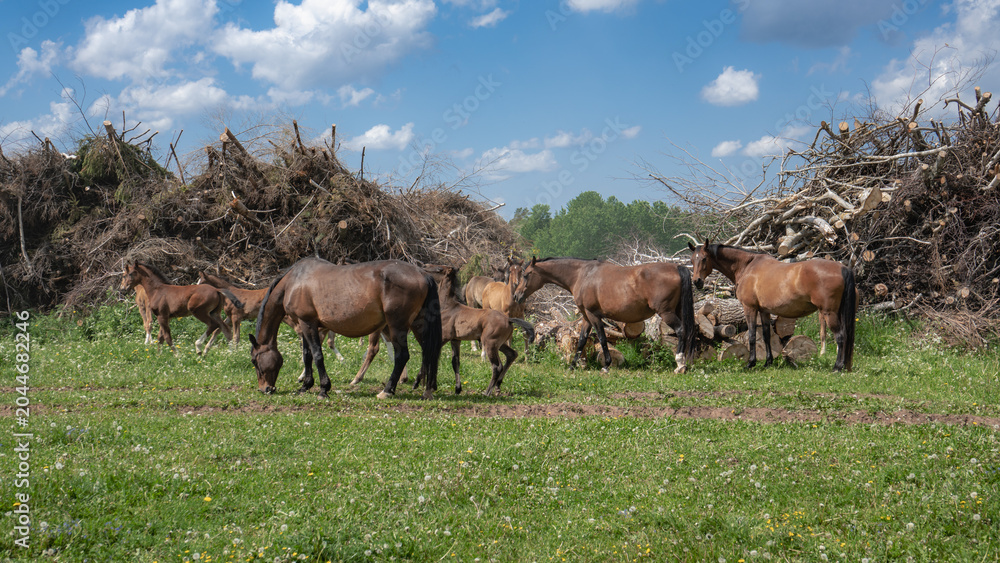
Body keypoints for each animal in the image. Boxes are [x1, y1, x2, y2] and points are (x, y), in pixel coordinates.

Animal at [248, 257, 442, 399]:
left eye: (254, 361)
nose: (265, 389)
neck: (295, 281)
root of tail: (422, 274)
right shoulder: (305, 325)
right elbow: (307, 355)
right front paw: (305, 386)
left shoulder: (307, 323)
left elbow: (317, 355)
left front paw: (323, 389)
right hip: (417, 325)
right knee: (428, 352)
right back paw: (427, 388)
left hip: (397, 327)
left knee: (402, 356)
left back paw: (387, 390)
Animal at [512, 257, 696, 373]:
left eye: (526, 275)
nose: (516, 296)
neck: (582, 275)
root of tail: (677, 267)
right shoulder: (586, 317)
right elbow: (581, 340)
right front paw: (572, 366)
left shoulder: (593, 315)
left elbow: (601, 338)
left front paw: (606, 365)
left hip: (666, 313)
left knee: (681, 330)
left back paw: (680, 364)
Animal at [687, 241, 856, 371]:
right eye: (692, 260)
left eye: (704, 259)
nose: (696, 281)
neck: (747, 267)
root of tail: (843, 268)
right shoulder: (764, 311)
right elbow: (766, 335)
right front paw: (768, 362)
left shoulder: (750, 308)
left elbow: (752, 335)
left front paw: (751, 363)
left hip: (829, 313)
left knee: (841, 336)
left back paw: (837, 367)